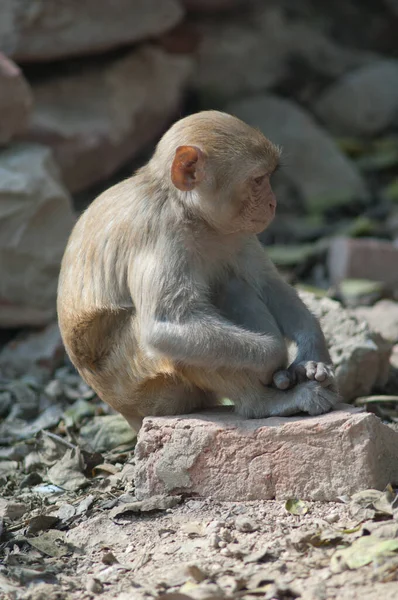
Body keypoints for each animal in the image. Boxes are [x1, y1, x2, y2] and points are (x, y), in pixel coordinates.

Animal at [57, 111, 338, 432]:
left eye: (268, 177)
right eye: (257, 180)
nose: (272, 203)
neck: (188, 211)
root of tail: (123, 412)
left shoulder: (236, 231)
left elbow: (269, 285)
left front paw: (312, 356)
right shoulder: (161, 235)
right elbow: (163, 327)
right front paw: (277, 357)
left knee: (233, 285)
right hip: (138, 385)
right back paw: (265, 402)